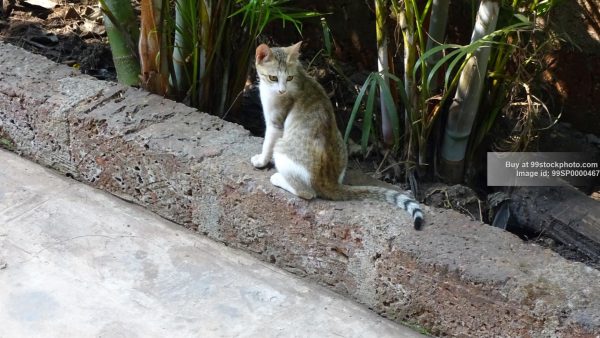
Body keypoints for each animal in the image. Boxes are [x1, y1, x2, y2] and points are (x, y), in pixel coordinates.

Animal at [251, 41, 424, 228]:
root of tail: (330, 182)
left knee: (307, 192)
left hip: (282, 148)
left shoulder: (275, 123)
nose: (282, 91)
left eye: (288, 78)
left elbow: (267, 143)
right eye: (273, 78)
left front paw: (261, 161)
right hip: (340, 140)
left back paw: (278, 178)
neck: (299, 76)